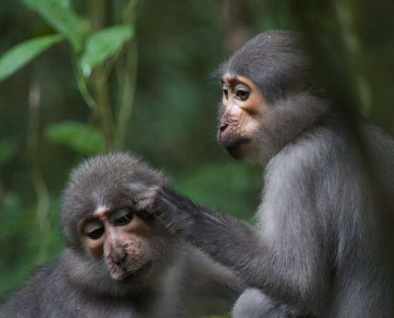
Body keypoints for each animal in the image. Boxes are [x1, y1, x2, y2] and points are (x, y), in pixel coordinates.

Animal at [131, 30, 394, 318]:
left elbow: (298, 280)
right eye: (226, 93)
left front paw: (175, 208)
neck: (317, 123)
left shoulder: (295, 167)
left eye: (242, 94)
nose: (222, 123)